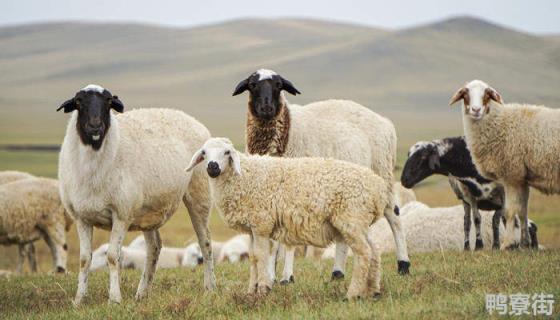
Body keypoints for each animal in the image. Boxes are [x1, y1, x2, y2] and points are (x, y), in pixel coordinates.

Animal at [57, 85, 214, 304]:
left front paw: (114, 299)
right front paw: (79, 299)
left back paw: (209, 288)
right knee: (154, 247)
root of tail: (193, 120)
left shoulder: (121, 214)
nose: (95, 126)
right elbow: (84, 260)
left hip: (199, 193)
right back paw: (142, 293)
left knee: (205, 242)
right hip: (148, 210)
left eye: (108, 102)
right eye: (79, 101)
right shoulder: (82, 217)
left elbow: (113, 256)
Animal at [186, 138, 388, 300]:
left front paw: (262, 289)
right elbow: (252, 257)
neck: (243, 177)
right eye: (204, 153)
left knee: (364, 253)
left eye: (227, 152)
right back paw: (372, 291)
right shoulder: (252, 227)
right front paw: (251, 291)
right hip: (361, 223)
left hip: (351, 219)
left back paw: (353, 294)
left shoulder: (262, 224)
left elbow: (261, 256)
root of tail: (377, 188)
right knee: (375, 250)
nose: (212, 167)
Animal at [232, 68, 412, 280]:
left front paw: (286, 277)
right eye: (252, 85)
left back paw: (403, 265)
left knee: (394, 216)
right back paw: (338, 272)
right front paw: (270, 275)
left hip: (383, 173)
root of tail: (386, 123)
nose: (266, 108)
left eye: (278, 85)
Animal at [450, 79, 560, 249]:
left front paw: (506, 244)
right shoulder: (521, 178)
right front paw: (524, 244)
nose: (476, 110)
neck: (500, 122)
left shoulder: (511, 176)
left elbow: (509, 211)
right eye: (465, 93)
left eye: (487, 94)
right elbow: (522, 212)